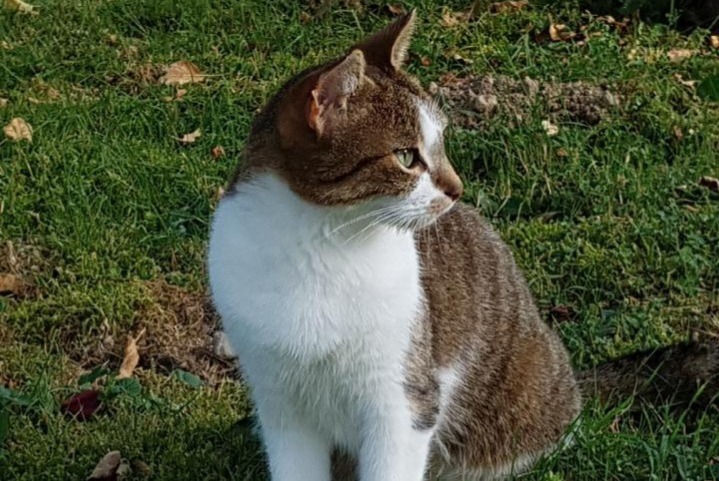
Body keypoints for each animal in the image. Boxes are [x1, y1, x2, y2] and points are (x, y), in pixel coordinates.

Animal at [205, 11, 716, 480]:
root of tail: (571, 382)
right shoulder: (281, 402)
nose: (457, 188)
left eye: (440, 145)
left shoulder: (403, 396)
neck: (321, 245)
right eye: (406, 156)